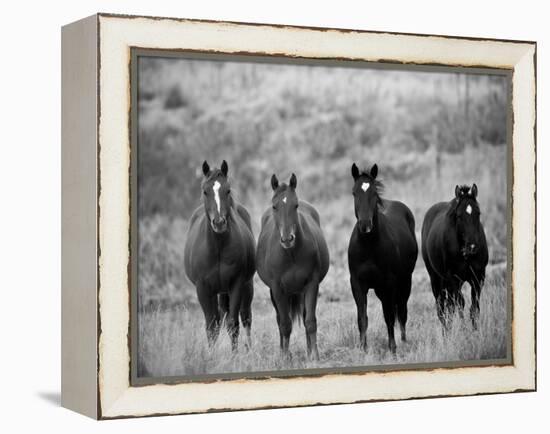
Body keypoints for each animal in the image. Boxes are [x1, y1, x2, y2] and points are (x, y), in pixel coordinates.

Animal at [183, 161, 256, 350]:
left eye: (228, 190)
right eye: (205, 191)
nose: (219, 222)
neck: (217, 248)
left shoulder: (236, 284)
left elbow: (233, 324)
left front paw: (234, 354)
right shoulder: (202, 289)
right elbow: (211, 326)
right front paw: (212, 354)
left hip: (246, 286)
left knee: (246, 317)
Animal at [256, 173, 330, 360]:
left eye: (295, 205)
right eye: (274, 206)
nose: (287, 239)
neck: (291, 254)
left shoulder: (311, 284)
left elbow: (310, 321)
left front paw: (314, 356)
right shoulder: (277, 289)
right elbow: (285, 324)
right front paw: (284, 357)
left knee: (304, 318)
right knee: (280, 320)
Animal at [350, 163, 418, 352]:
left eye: (374, 193)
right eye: (354, 193)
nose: (365, 225)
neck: (369, 247)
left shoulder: (388, 284)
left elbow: (389, 317)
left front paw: (392, 348)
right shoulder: (357, 284)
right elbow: (362, 318)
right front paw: (363, 348)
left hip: (404, 282)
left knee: (401, 311)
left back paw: (403, 341)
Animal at [422, 183, 492, 328]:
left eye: (478, 213)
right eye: (459, 216)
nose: (472, 247)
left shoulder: (478, 277)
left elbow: (474, 308)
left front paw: (475, 330)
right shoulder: (453, 279)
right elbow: (460, 304)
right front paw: (464, 330)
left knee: (449, 307)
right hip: (436, 279)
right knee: (442, 309)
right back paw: (446, 332)